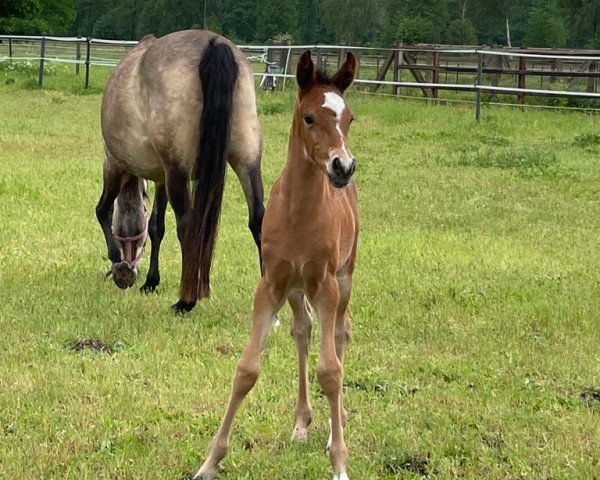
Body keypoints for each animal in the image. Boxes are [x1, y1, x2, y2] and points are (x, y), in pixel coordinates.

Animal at [195, 50, 358, 478]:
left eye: (350, 118)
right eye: (309, 117)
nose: (343, 167)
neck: (299, 213)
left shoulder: (326, 285)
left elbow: (330, 371)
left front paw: (340, 462)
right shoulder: (271, 284)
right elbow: (246, 369)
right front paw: (210, 461)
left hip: (343, 278)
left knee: (340, 333)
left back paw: (336, 424)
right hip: (297, 288)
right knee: (303, 331)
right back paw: (302, 422)